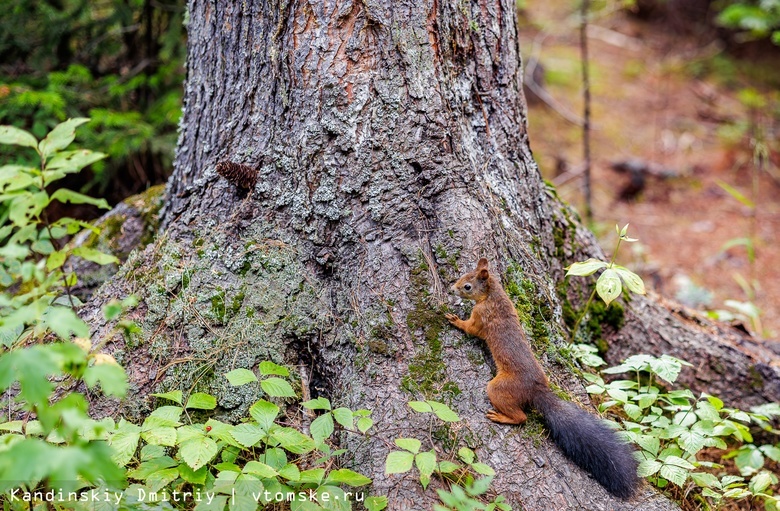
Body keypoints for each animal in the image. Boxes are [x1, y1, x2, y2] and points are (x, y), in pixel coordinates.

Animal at [444, 258, 640, 498]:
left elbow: (472, 329)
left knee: (521, 417)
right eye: (462, 276)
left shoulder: (481, 315)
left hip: (499, 388)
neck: (493, 296)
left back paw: (502, 417)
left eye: (467, 286)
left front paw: (455, 320)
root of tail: (536, 390)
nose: (451, 289)